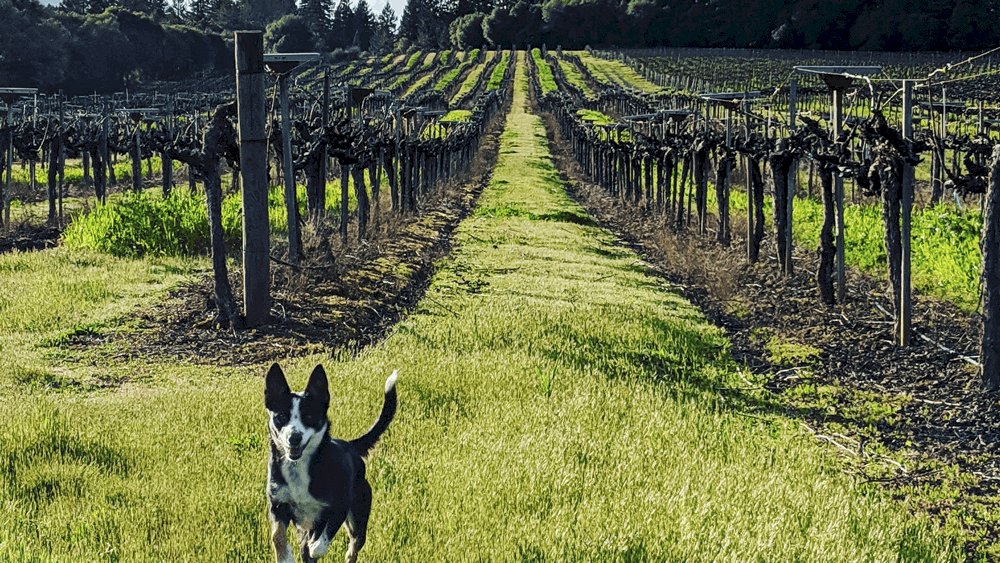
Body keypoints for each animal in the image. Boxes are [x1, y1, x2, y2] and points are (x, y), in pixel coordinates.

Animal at [266, 364, 398, 560]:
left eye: (309, 416)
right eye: (282, 416)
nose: (294, 438)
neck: (301, 468)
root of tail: (350, 445)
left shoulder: (339, 507)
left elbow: (324, 537)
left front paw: (316, 547)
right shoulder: (277, 504)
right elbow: (277, 536)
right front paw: (285, 558)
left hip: (359, 514)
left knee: (354, 546)